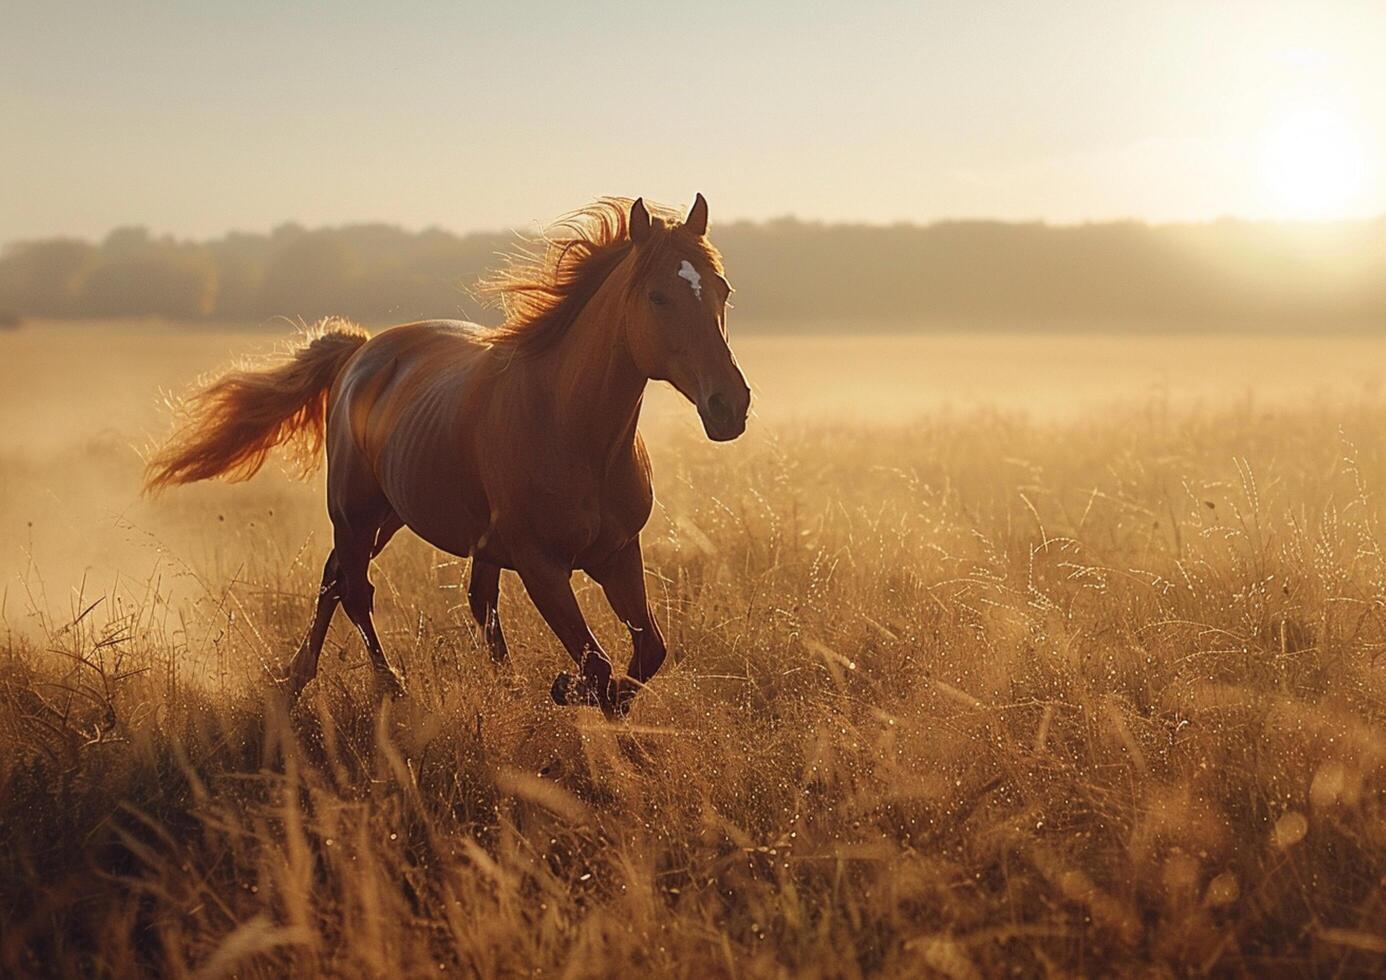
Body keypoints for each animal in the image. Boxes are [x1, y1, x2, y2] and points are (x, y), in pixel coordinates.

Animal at [147, 196, 753, 720]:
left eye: (722, 290)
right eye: (657, 296)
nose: (730, 405)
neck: (575, 431)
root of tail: (361, 352)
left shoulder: (618, 553)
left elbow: (646, 656)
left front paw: (568, 695)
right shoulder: (542, 567)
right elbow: (599, 668)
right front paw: (568, 691)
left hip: (396, 516)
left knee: (382, 587)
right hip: (356, 513)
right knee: (353, 590)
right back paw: (384, 687)